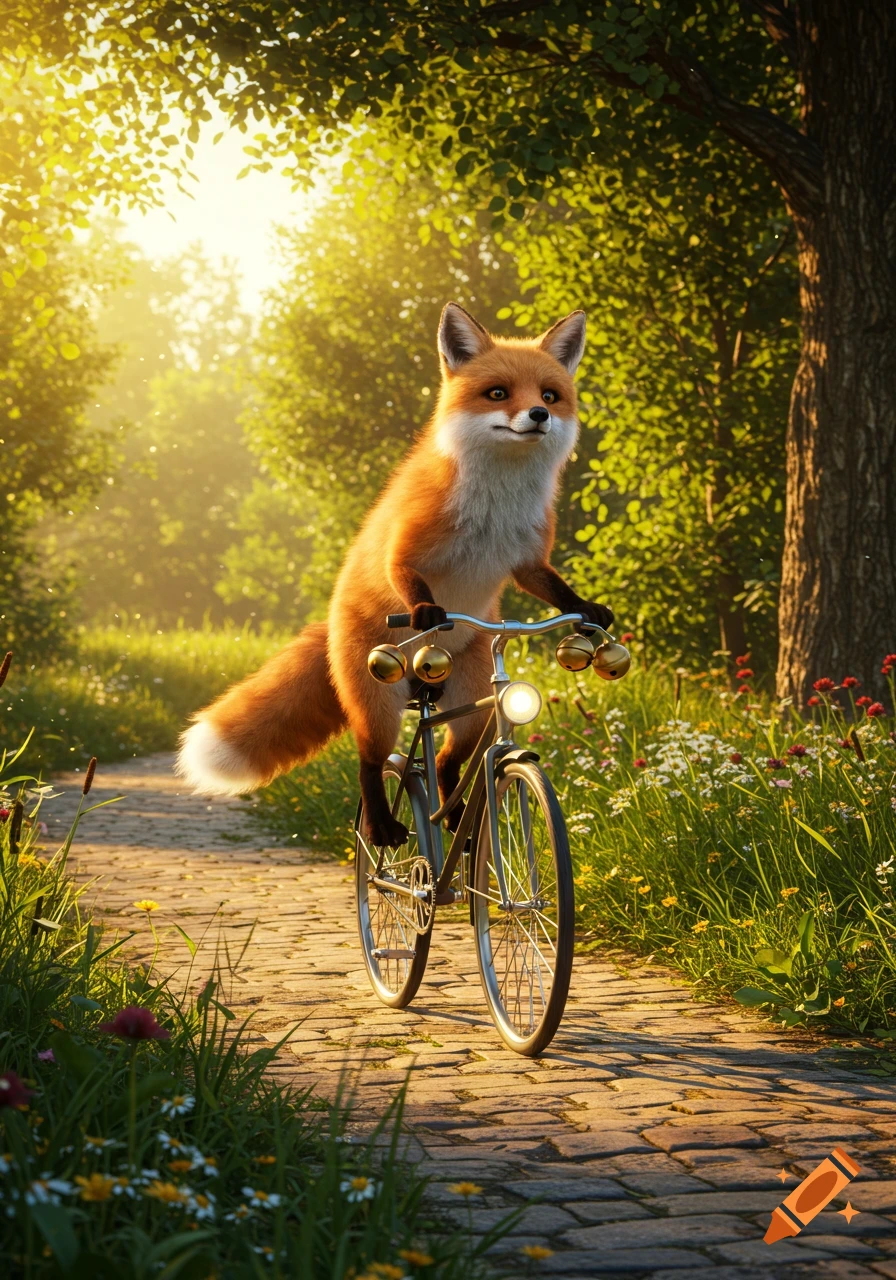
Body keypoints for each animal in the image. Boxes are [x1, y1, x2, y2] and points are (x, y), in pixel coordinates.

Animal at [176, 302, 613, 847]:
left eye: (549, 395)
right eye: (498, 393)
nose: (539, 415)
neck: (496, 503)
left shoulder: (528, 558)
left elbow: (555, 587)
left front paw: (587, 609)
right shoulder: (405, 547)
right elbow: (404, 573)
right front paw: (426, 611)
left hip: (475, 709)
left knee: (445, 762)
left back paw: (455, 817)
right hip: (379, 704)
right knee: (370, 763)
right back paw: (383, 826)